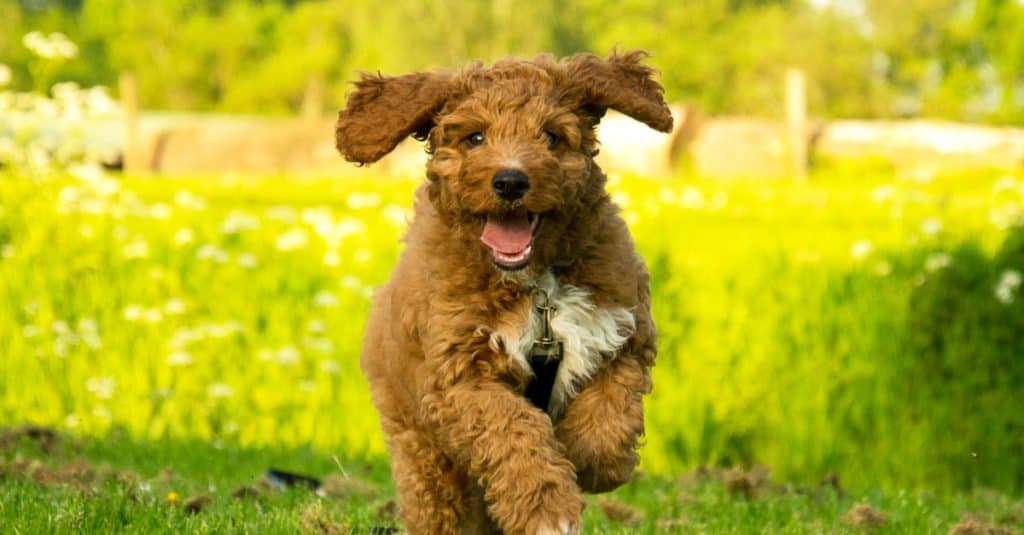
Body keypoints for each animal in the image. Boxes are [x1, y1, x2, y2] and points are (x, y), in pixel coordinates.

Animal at [333, 50, 671, 532]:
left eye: (551, 136)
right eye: (475, 137)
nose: (511, 181)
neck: (538, 287)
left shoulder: (622, 335)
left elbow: (608, 420)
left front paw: (585, 460)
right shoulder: (460, 378)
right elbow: (514, 432)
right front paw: (548, 507)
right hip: (418, 444)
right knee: (437, 501)